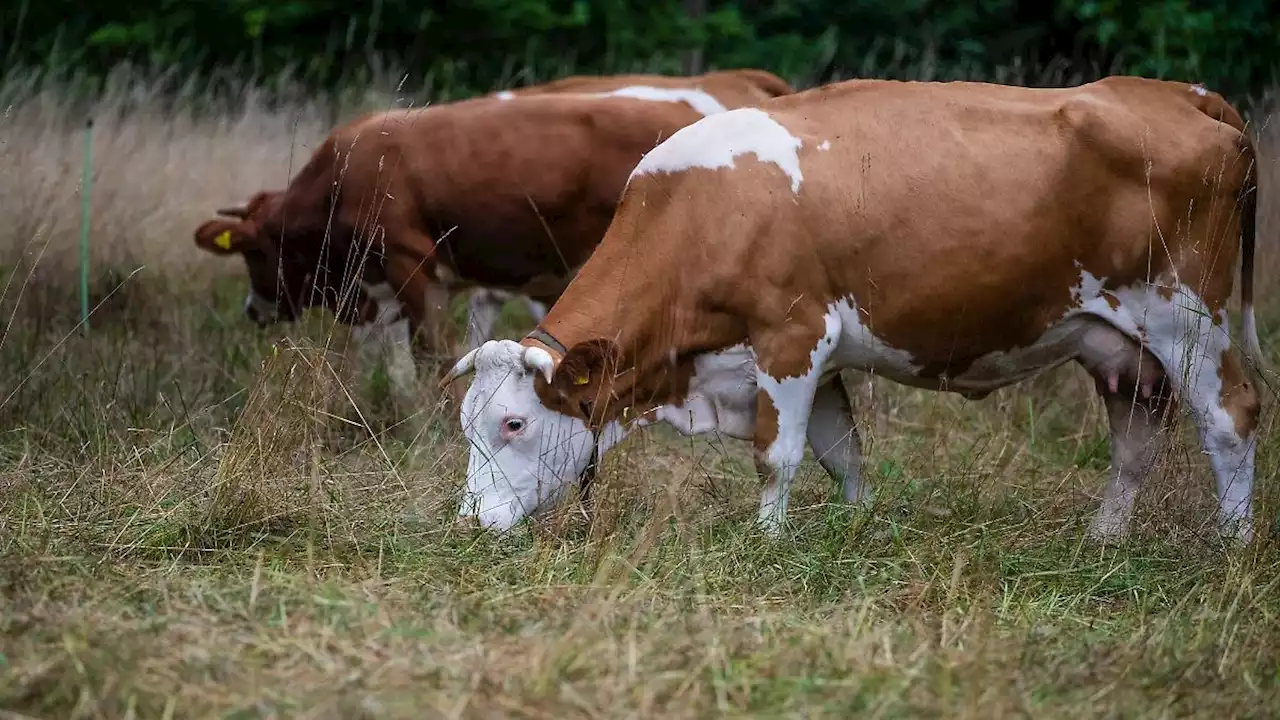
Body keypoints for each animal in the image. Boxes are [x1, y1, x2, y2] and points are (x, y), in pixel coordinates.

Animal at [445, 75, 1264, 540]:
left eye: (512, 423)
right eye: (466, 425)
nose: (471, 522)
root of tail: (1179, 94)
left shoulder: (791, 337)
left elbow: (776, 457)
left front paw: (768, 546)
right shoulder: (818, 361)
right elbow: (842, 453)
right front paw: (858, 528)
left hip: (1187, 317)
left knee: (1232, 416)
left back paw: (1231, 546)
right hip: (1124, 350)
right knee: (1134, 446)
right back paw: (1104, 541)